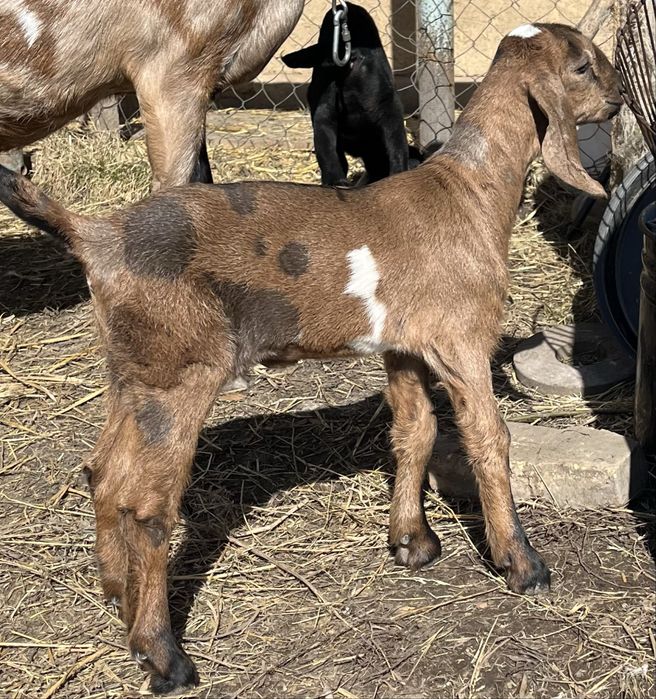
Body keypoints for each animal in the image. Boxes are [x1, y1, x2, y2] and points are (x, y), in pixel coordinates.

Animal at [0, 23, 621, 694]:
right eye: (582, 66)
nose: (619, 98)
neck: (468, 193)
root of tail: (99, 236)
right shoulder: (461, 339)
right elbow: (487, 437)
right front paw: (523, 563)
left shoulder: (402, 345)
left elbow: (416, 430)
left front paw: (412, 542)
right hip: (182, 371)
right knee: (146, 504)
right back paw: (163, 655)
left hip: (135, 369)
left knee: (104, 472)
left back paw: (118, 591)